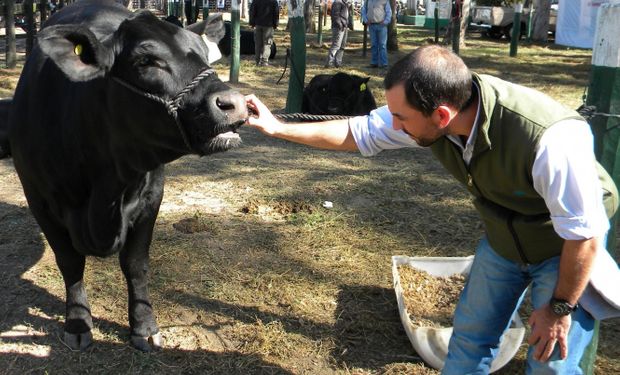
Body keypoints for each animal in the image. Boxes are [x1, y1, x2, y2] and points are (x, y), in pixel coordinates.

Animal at [5, 0, 247, 352]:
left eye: (205, 54)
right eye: (146, 61)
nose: (236, 103)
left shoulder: (152, 196)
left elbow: (135, 264)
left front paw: (143, 327)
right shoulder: (39, 201)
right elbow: (70, 262)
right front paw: (78, 323)